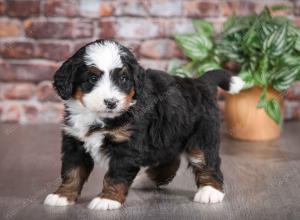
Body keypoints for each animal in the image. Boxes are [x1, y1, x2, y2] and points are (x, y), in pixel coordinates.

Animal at [44, 39, 245, 210]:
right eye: (92, 79)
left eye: (123, 79)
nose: (111, 102)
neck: (100, 117)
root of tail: (199, 82)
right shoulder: (74, 142)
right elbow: (72, 172)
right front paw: (62, 195)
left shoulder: (126, 147)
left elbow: (115, 176)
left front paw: (107, 199)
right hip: (167, 135)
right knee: (171, 161)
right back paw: (146, 179)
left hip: (202, 135)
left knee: (207, 162)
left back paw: (210, 191)